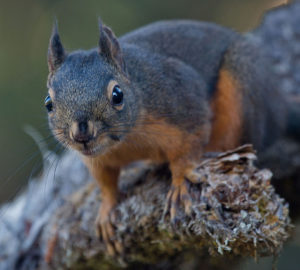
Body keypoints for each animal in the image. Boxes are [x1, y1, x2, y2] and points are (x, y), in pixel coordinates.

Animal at [46, 19, 290, 255]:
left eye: (117, 95)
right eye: (48, 103)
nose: (81, 134)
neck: (126, 142)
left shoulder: (182, 99)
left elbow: (188, 146)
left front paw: (181, 181)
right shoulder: (97, 159)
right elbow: (106, 181)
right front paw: (106, 208)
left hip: (242, 84)